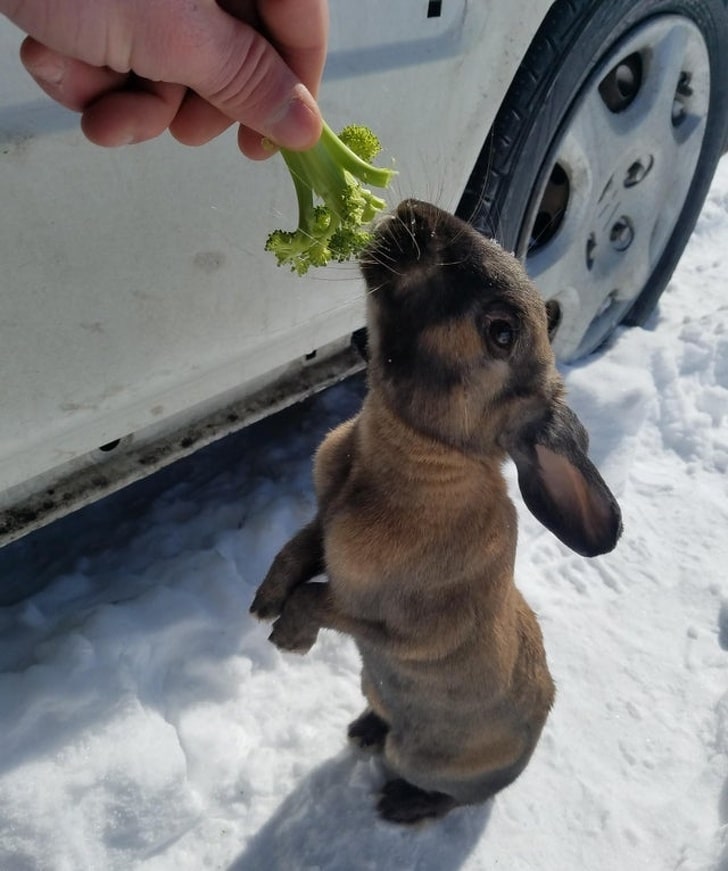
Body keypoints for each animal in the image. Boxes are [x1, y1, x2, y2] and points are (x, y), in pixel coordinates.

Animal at [250, 201, 620, 828]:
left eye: (502, 332)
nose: (414, 212)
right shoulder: (322, 523)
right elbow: (296, 551)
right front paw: (263, 604)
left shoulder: (397, 627)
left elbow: (319, 599)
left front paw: (288, 639)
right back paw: (364, 730)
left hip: (425, 759)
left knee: (449, 798)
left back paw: (399, 803)